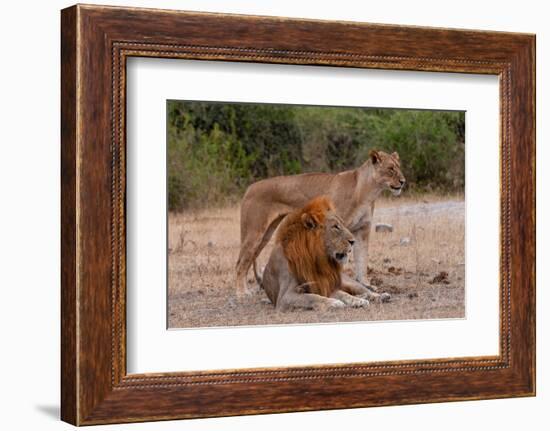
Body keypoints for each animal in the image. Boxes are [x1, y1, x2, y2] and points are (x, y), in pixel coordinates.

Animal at [236, 150, 406, 296]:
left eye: (399, 167)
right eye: (390, 169)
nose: (403, 182)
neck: (368, 193)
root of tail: (250, 187)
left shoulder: (363, 231)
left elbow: (362, 259)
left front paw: (366, 284)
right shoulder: (339, 230)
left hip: (266, 234)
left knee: (250, 258)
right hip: (253, 232)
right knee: (240, 263)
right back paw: (242, 293)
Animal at [260, 196, 390, 310]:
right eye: (335, 227)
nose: (353, 241)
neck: (315, 259)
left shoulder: (325, 285)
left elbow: (342, 294)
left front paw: (355, 301)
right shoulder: (284, 297)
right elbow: (311, 297)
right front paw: (334, 302)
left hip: (347, 282)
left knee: (362, 290)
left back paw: (379, 296)